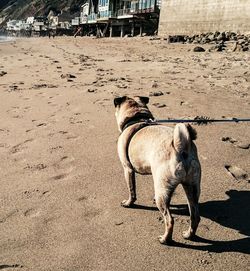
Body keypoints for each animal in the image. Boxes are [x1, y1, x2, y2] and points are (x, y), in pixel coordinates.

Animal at [114, 95, 201, 244]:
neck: (137, 117)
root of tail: (181, 148)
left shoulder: (127, 169)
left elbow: (132, 190)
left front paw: (129, 203)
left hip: (162, 187)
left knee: (169, 219)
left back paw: (165, 239)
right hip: (191, 186)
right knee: (195, 214)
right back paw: (189, 235)